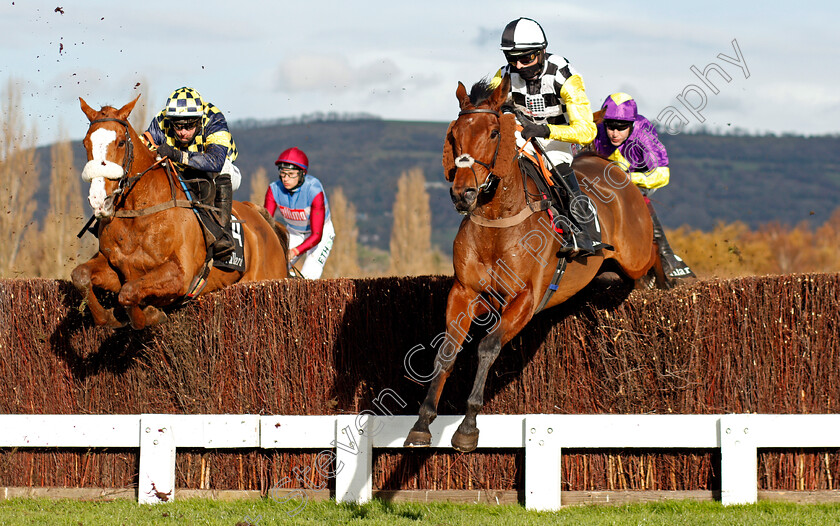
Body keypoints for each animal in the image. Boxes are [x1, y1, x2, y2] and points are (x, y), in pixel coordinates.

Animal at [72, 96, 288, 330]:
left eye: (121, 142)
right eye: (85, 143)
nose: (98, 200)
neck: (138, 214)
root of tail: (260, 216)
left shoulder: (181, 275)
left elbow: (128, 292)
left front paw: (149, 313)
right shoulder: (116, 267)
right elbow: (81, 275)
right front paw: (108, 316)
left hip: (264, 278)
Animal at [406, 77, 656, 454]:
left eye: (494, 132)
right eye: (454, 135)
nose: (463, 194)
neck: (498, 221)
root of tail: (612, 166)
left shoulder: (527, 297)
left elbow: (488, 346)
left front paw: (467, 427)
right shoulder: (464, 292)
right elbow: (447, 352)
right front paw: (422, 423)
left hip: (637, 257)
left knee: (648, 266)